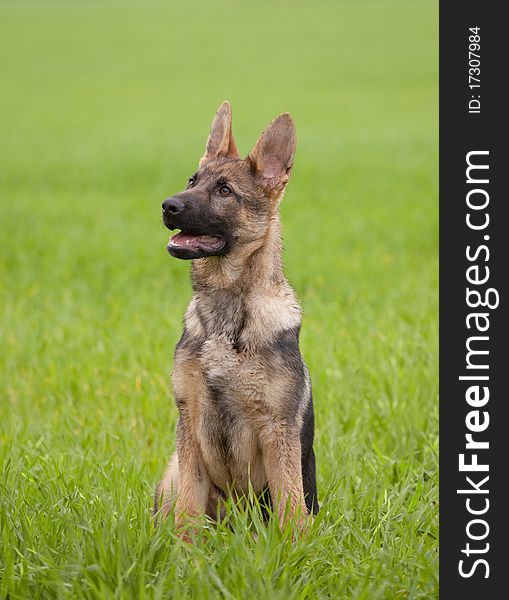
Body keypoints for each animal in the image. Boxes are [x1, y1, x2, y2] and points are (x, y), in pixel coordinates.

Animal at [155, 102, 316, 528]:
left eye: (224, 190)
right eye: (192, 180)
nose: (167, 206)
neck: (227, 313)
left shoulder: (277, 430)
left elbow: (290, 509)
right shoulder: (190, 423)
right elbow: (188, 513)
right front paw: (184, 547)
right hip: (172, 470)